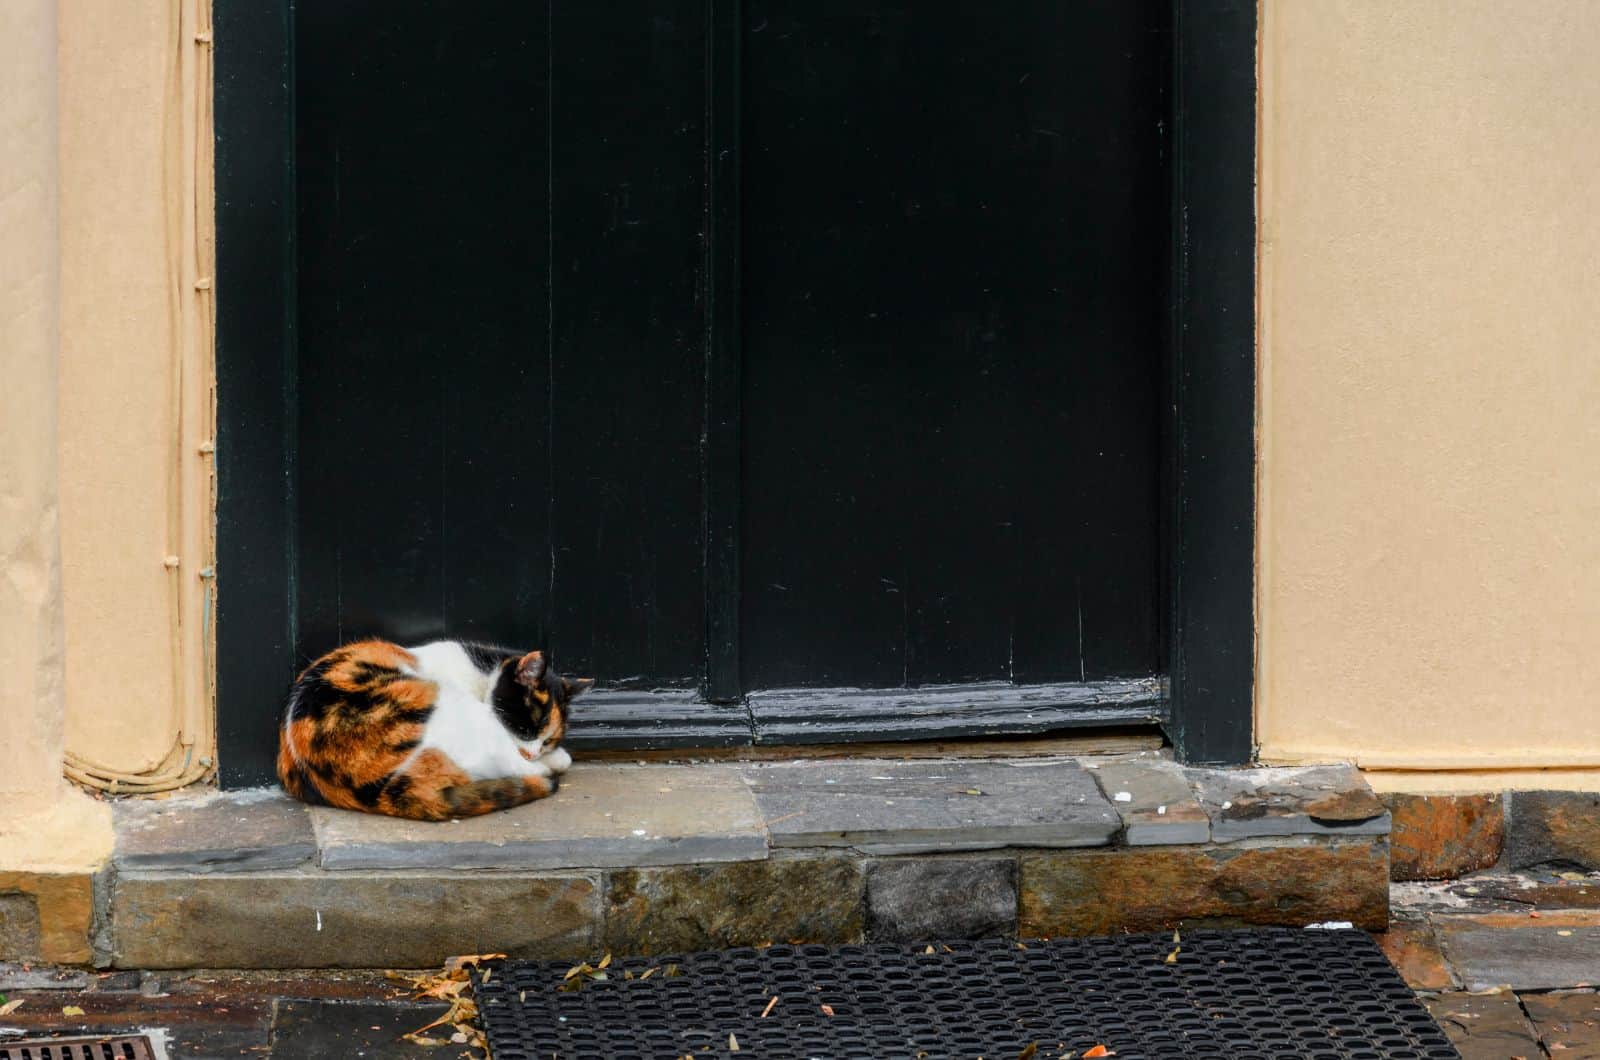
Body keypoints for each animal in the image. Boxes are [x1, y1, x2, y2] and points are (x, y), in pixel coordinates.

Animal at [276, 640, 595, 819]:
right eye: (525, 726)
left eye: (547, 740)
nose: (533, 752)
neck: (483, 673)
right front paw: (551, 759)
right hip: (458, 709)